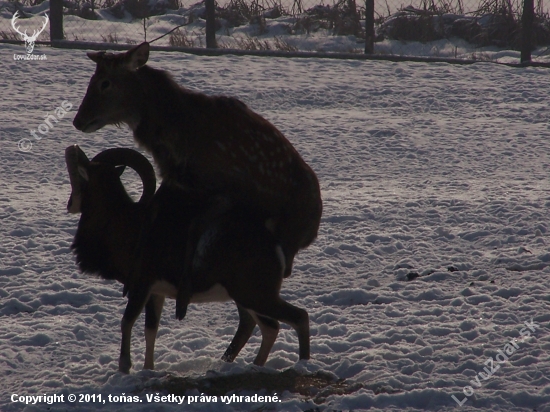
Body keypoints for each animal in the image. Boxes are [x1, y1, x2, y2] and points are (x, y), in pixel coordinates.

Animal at [64, 146, 310, 374]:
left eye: (82, 177)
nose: (70, 205)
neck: (130, 228)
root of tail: (273, 242)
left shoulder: (141, 287)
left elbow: (127, 322)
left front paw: (125, 367)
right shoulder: (156, 293)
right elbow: (150, 330)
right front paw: (148, 369)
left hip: (255, 296)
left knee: (297, 318)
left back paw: (301, 365)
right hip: (247, 299)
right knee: (267, 327)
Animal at [73, 43, 324, 322]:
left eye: (105, 83)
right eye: (92, 79)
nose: (78, 120)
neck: (178, 141)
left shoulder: (225, 190)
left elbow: (193, 227)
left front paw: (183, 299)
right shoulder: (177, 182)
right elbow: (152, 212)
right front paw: (130, 282)